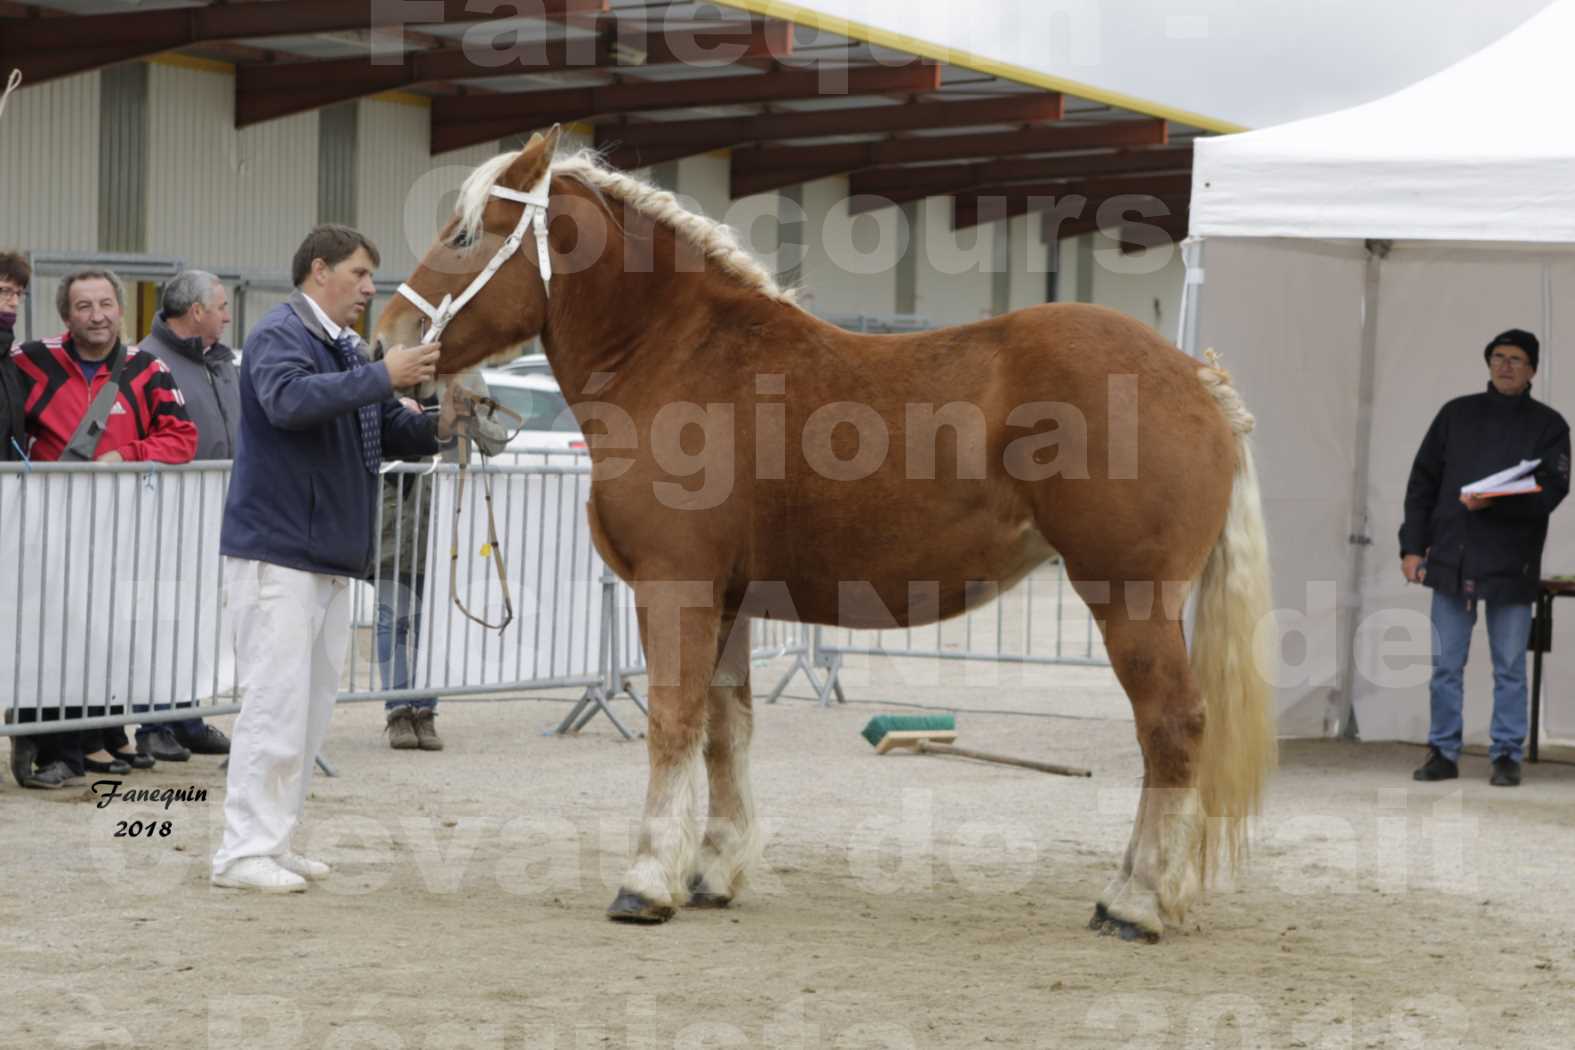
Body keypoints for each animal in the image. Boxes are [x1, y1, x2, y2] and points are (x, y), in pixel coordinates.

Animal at [374, 127, 1272, 938]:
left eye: (463, 235)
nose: (387, 340)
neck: (675, 354)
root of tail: (1197, 379)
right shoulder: (729, 599)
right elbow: (725, 728)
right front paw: (713, 870)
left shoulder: (673, 587)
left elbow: (672, 723)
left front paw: (646, 883)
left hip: (1128, 599)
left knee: (1171, 727)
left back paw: (1134, 903)